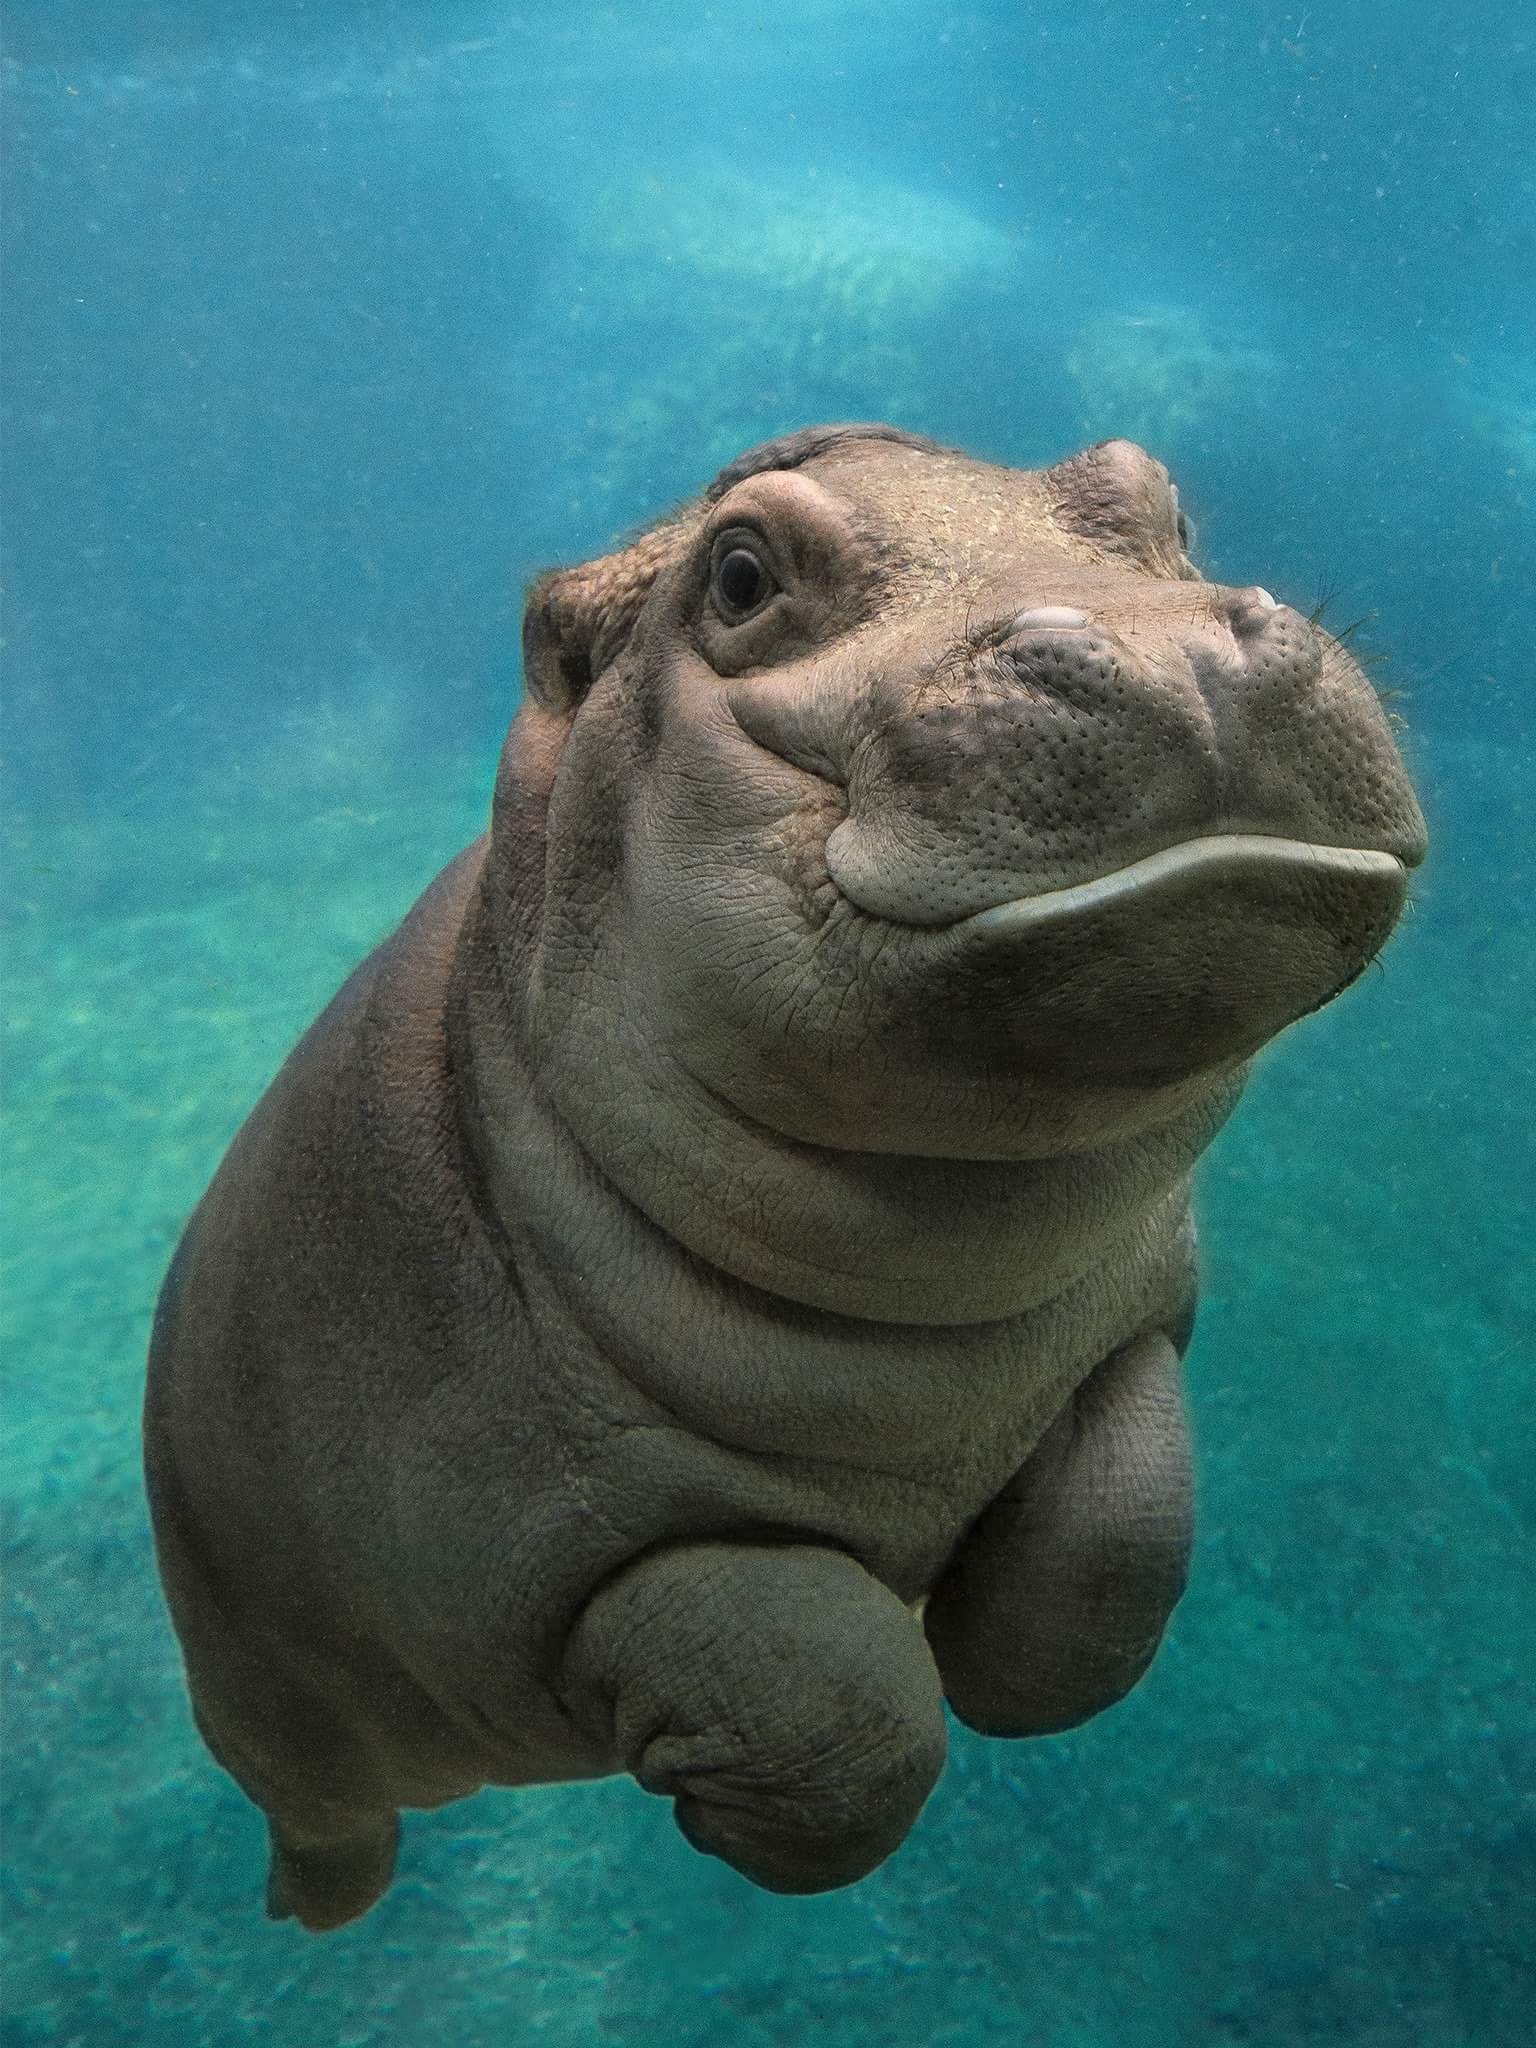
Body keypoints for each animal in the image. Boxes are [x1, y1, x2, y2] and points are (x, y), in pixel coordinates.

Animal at [144, 423, 1433, 1925]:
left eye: (1158, 501)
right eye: (742, 576)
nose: (1176, 647)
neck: (938, 1290)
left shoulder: (1129, 1328)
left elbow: (1117, 1552)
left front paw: (1002, 1660)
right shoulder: (540, 1542)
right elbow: (838, 1714)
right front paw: (740, 1803)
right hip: (264, 1694)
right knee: (324, 1810)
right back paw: (313, 1908)